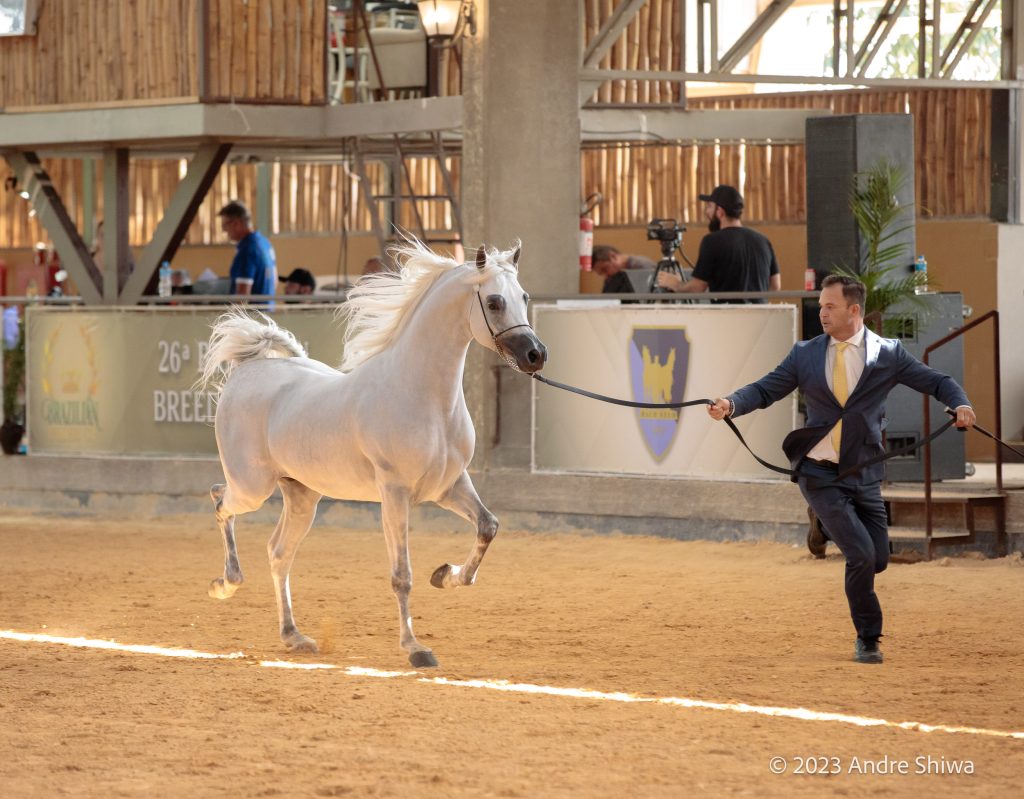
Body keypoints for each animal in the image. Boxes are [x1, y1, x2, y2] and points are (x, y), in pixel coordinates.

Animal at [201, 241, 552, 667]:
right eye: (495, 301)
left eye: (524, 297)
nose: (536, 355)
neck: (422, 396)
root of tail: (247, 373)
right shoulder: (395, 493)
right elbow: (402, 575)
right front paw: (416, 649)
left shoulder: (449, 486)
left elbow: (488, 526)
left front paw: (445, 575)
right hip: (252, 486)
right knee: (220, 499)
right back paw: (225, 584)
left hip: (302, 496)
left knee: (279, 553)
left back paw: (294, 636)